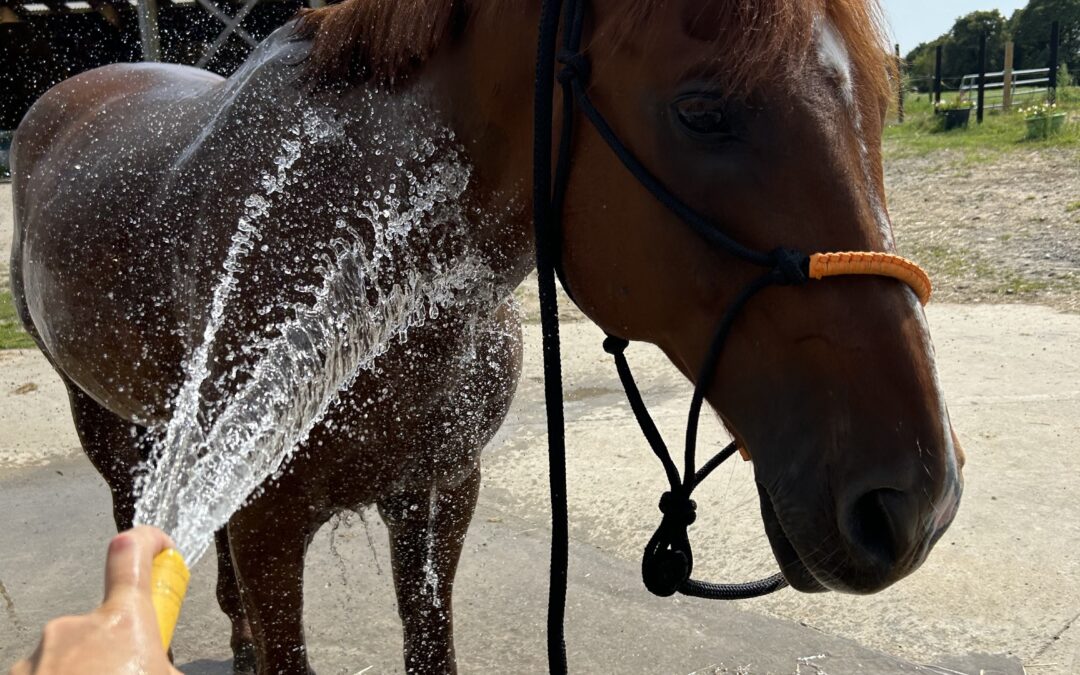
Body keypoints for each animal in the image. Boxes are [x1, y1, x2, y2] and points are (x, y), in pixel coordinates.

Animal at [9, 0, 965, 672]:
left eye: (882, 103)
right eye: (701, 110)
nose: (919, 503)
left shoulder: (438, 490)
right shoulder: (269, 522)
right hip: (108, 424)